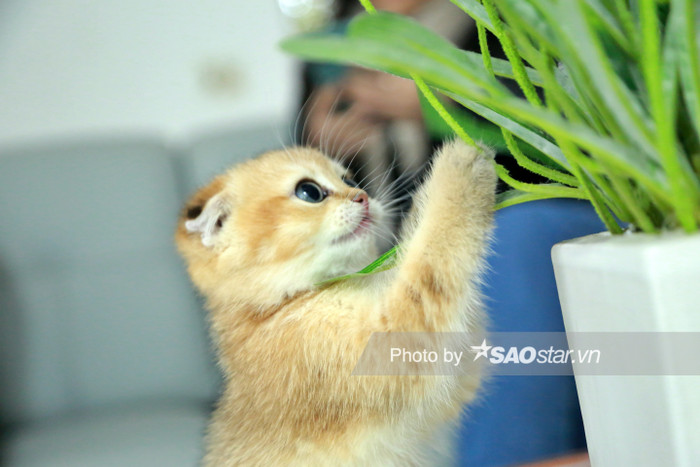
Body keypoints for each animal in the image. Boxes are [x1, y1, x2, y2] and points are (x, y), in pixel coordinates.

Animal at [175, 141, 498, 466]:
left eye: (349, 179)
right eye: (309, 191)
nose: (363, 196)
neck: (276, 308)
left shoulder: (456, 378)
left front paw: (426, 196)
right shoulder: (394, 340)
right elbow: (433, 260)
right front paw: (458, 167)